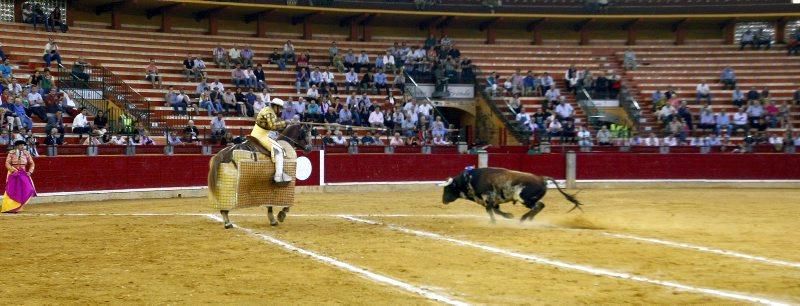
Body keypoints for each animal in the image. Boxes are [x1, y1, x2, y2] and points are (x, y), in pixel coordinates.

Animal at [438, 166, 580, 224]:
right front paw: (508, 216)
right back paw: (529, 219)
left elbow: (489, 210)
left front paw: (494, 222)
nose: (443, 200)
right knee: (540, 206)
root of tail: (541, 178)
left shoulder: (488, 198)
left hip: (524, 199)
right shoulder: (493, 201)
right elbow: (496, 211)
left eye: (447, 189)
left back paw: (524, 219)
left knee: (538, 206)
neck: (468, 180)